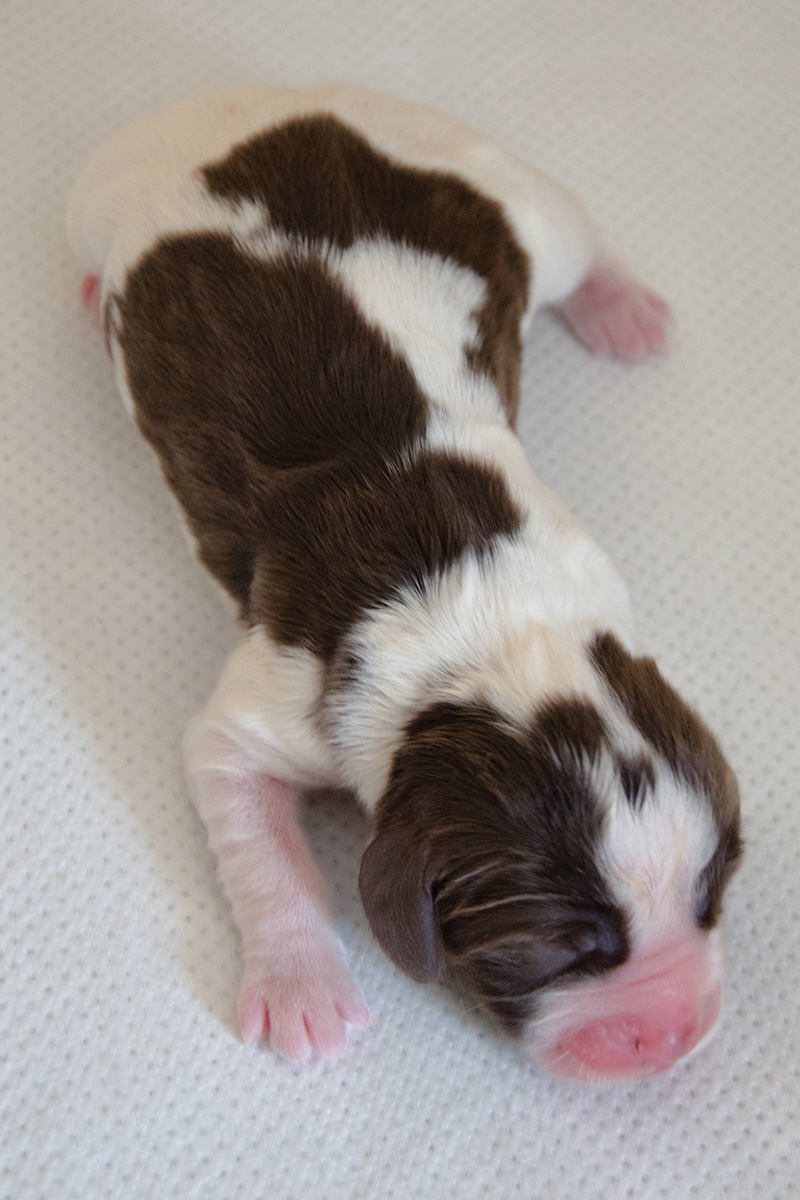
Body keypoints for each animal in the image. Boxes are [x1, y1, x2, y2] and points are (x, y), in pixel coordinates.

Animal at [68, 82, 743, 1080]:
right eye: (558, 947)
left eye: (710, 893)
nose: (673, 1038)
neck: (490, 626)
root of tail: (280, 103)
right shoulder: (268, 708)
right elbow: (255, 832)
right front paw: (303, 990)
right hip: (103, 192)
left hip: (505, 191)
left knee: (581, 238)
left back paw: (620, 305)